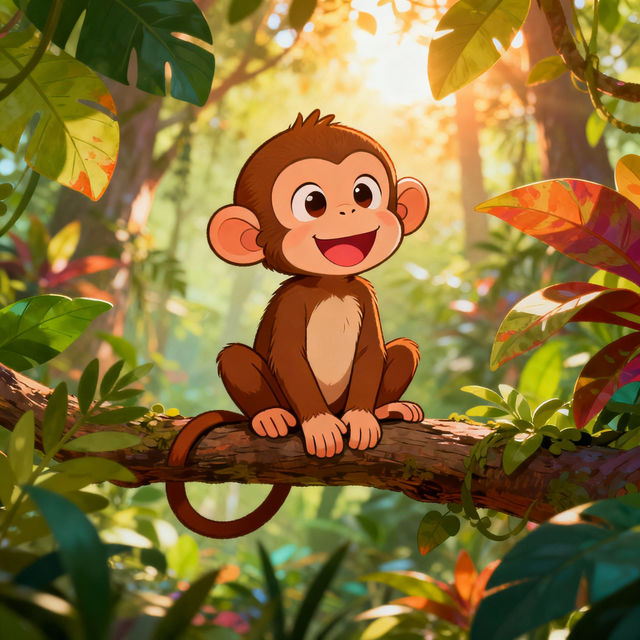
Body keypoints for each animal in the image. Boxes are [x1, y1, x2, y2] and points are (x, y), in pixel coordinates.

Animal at [166, 110, 429, 538]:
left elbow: (371, 351)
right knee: (237, 357)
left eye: (363, 193)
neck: (331, 285)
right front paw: (319, 427)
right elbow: (288, 356)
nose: (348, 211)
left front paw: (362, 418)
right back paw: (270, 417)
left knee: (404, 349)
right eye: (313, 202)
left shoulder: (365, 295)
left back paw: (386, 409)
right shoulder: (292, 303)